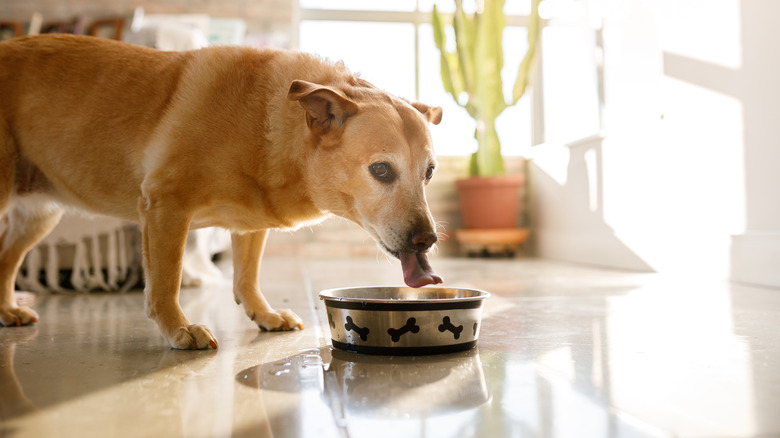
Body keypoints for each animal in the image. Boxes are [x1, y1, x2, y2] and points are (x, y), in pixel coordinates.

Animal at [0, 33, 444, 350]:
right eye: (381, 170)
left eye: (429, 173)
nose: (427, 240)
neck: (266, 122)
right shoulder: (165, 207)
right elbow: (165, 282)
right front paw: (178, 329)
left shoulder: (248, 226)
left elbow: (246, 278)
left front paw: (264, 315)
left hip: (38, 217)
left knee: (5, 260)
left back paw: (7, 308)